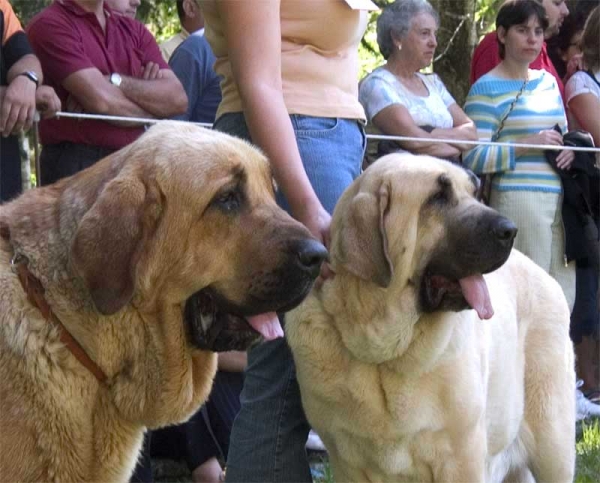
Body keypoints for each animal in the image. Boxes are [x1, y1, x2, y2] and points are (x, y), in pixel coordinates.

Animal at [288, 155, 580, 483]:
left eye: (474, 192)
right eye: (438, 197)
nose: (510, 229)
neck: (383, 350)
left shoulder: (461, 457)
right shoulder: (347, 462)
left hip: (553, 444)